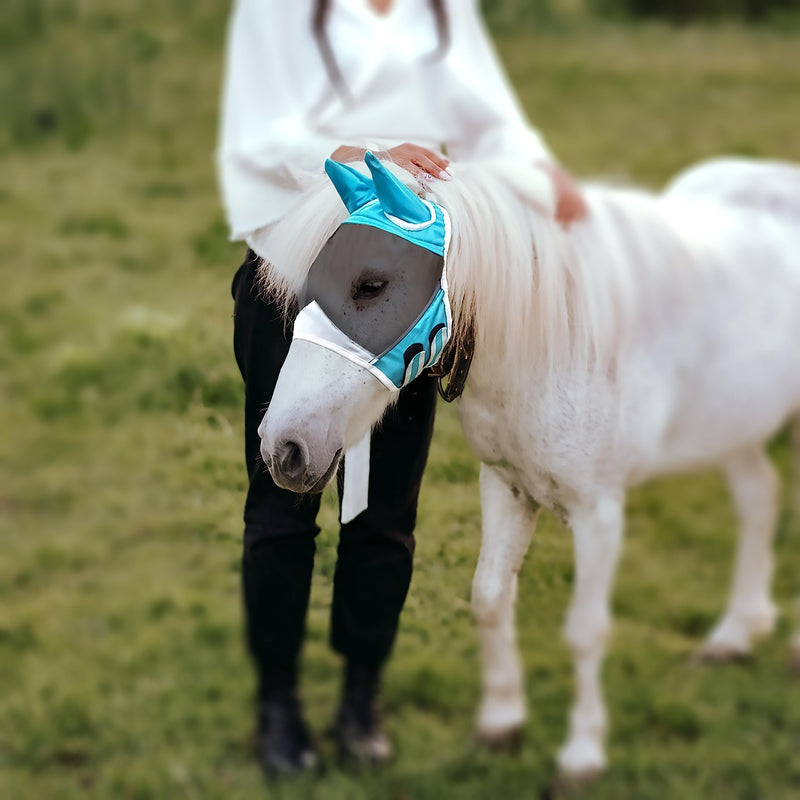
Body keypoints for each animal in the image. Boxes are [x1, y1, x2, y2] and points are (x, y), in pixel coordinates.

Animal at [254, 152, 800, 779]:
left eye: (372, 284)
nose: (283, 447)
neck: (555, 343)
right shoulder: (504, 485)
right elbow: (490, 599)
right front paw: (500, 725)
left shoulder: (598, 512)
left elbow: (586, 632)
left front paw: (581, 756)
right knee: (760, 499)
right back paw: (735, 635)